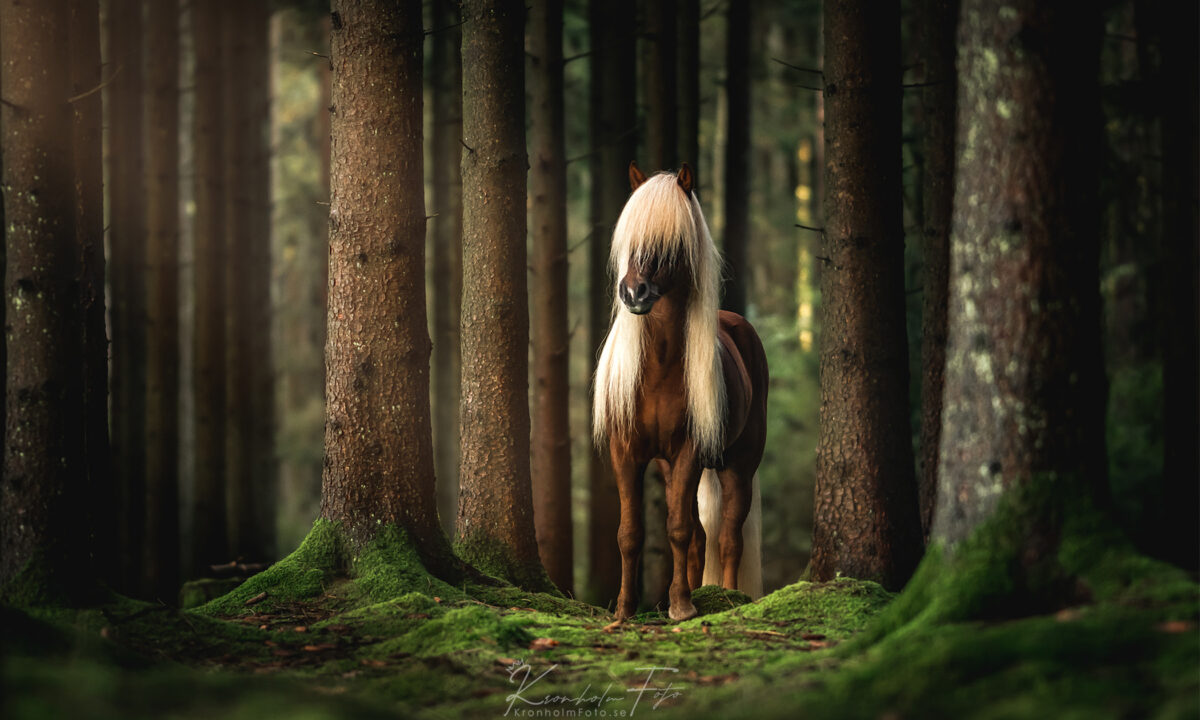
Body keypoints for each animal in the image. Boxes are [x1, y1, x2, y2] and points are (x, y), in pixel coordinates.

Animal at [594, 161, 768, 622]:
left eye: (671, 242)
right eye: (630, 239)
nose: (633, 292)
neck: (658, 367)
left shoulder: (690, 451)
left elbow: (677, 529)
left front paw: (681, 607)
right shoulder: (627, 452)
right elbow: (631, 532)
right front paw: (624, 610)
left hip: (737, 465)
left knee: (728, 537)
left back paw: (728, 596)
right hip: (673, 467)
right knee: (701, 537)